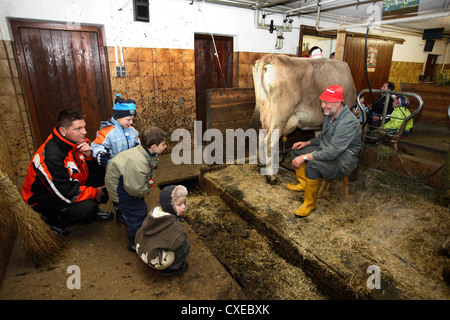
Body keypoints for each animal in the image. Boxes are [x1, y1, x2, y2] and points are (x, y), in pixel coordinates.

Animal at [251, 54, 356, 184]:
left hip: (265, 115)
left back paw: (261, 165)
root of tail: (270, 56)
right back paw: (271, 177)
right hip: (280, 118)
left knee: (261, 138)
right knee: (269, 143)